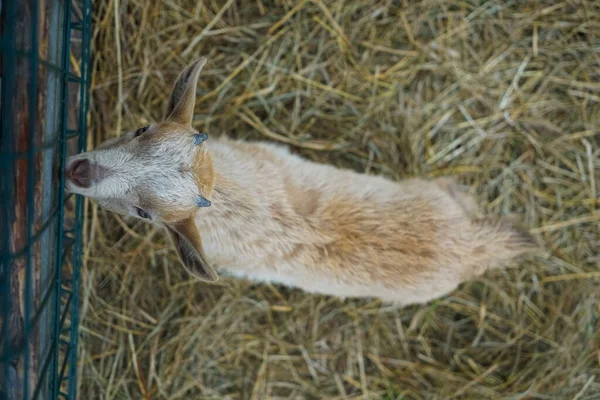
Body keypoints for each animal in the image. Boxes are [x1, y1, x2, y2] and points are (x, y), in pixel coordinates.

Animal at [68, 57, 536, 304]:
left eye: (144, 213)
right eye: (141, 129)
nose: (78, 172)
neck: (226, 197)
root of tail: (472, 247)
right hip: (437, 193)